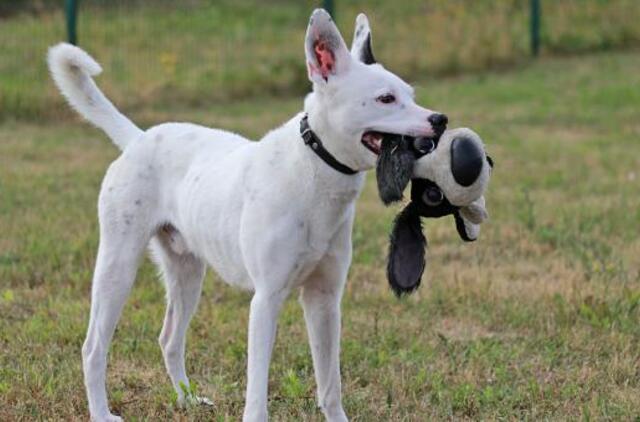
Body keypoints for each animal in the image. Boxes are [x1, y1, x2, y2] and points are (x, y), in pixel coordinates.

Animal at [48, 9, 444, 422]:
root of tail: (138, 139)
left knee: (169, 339)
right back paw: (101, 411)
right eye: (386, 98)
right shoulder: (266, 300)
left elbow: (330, 384)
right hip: (118, 267)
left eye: (411, 95)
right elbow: (257, 393)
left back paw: (187, 399)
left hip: (187, 274)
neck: (313, 170)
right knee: (93, 347)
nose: (440, 120)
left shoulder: (324, 300)